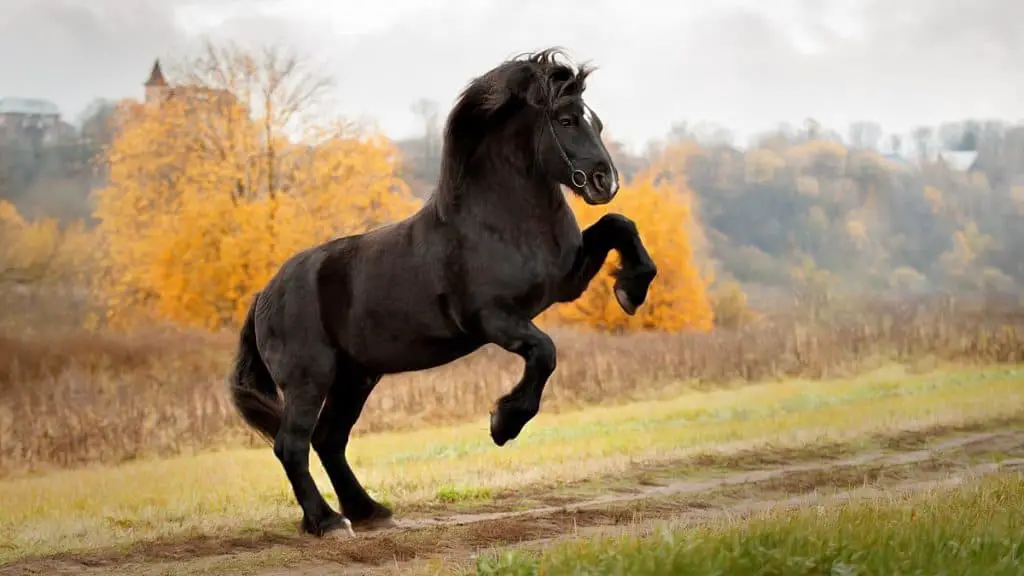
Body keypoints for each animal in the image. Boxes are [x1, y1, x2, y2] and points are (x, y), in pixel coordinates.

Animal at [230, 47, 655, 537]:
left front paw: (630, 290)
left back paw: (369, 511)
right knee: (292, 445)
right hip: (309, 378)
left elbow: (619, 225)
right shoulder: (494, 318)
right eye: (566, 120)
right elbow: (545, 352)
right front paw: (503, 423)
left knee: (329, 439)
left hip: (356, 377)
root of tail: (263, 297)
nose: (607, 182)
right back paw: (329, 521)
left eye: (597, 123)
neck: (501, 221)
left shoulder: (567, 282)